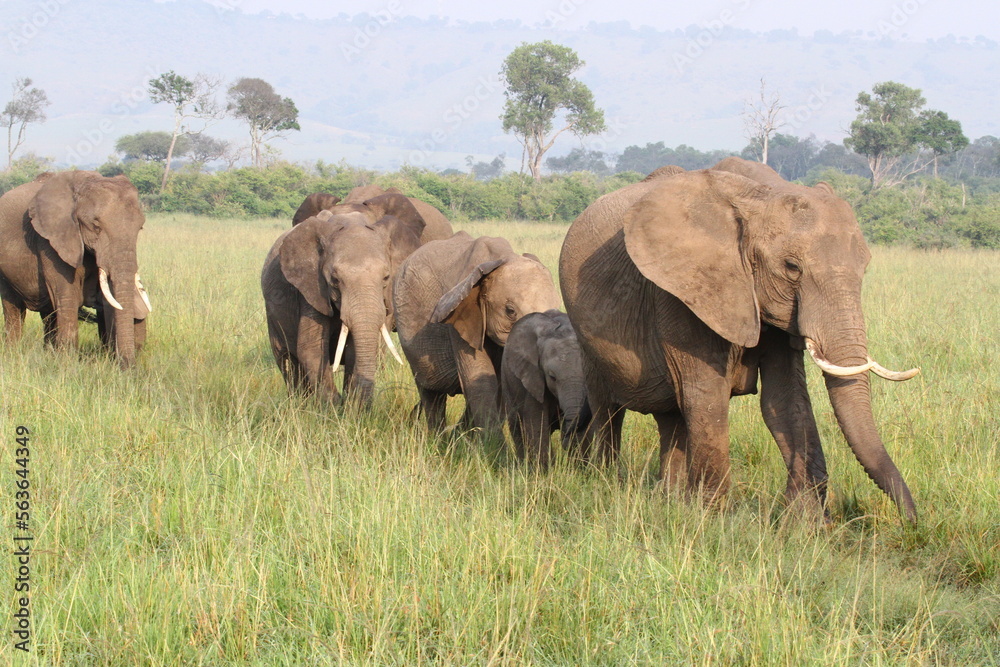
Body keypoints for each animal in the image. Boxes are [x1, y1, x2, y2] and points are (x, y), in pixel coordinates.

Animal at [0, 171, 151, 367]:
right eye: (96, 226)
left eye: (140, 228)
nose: (129, 368)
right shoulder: (51, 241)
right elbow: (68, 297)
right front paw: (68, 365)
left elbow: (108, 301)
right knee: (13, 308)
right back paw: (13, 354)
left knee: (49, 314)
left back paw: (48, 354)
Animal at [261, 193, 425, 405]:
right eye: (335, 280)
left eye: (386, 278)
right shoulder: (311, 287)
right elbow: (312, 348)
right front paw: (333, 406)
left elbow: (357, 350)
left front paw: (351, 407)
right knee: (287, 360)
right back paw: (299, 404)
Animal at [393, 232, 561, 440]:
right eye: (510, 311)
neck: (503, 256)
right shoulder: (461, 321)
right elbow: (480, 380)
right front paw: (494, 447)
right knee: (431, 393)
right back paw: (439, 439)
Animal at [501, 309, 592, 469]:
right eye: (552, 377)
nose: (566, 440)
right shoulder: (533, 378)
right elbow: (537, 423)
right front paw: (544, 471)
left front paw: (579, 469)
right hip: (506, 381)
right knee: (516, 426)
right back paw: (522, 466)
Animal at [559, 157, 921, 522]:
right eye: (792, 267)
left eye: (865, 267)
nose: (912, 521)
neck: (762, 193)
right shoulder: (683, 292)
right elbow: (707, 397)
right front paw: (713, 517)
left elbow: (785, 399)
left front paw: (804, 522)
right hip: (587, 336)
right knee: (608, 408)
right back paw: (608, 481)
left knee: (671, 416)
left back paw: (669, 499)